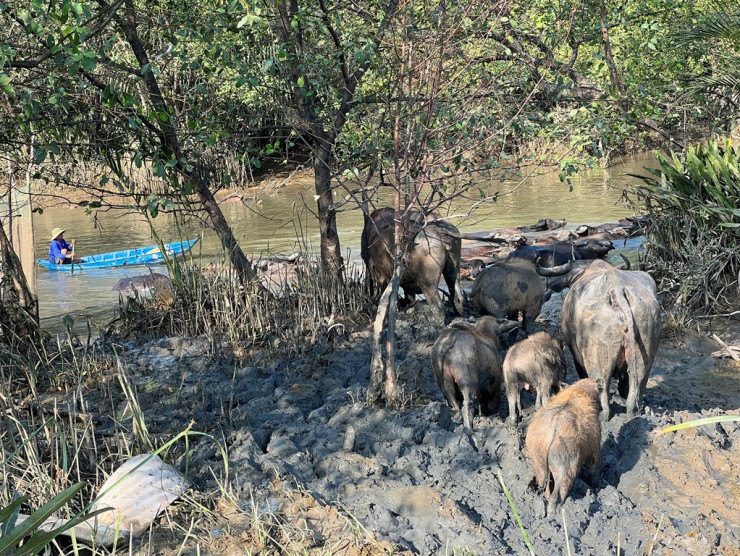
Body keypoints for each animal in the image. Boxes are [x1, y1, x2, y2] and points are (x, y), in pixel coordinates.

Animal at [528, 378, 600, 516]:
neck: (577, 391)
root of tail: (550, 433)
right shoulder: (595, 449)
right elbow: (593, 470)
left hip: (540, 464)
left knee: (546, 488)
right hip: (566, 469)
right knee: (557, 495)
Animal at [548, 260, 660, 422]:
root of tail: (617, 290)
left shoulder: (577, 356)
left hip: (596, 354)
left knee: (601, 383)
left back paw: (602, 413)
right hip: (645, 349)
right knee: (639, 381)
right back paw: (634, 409)